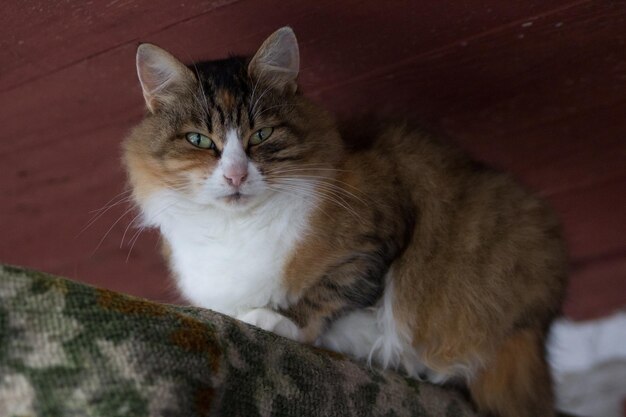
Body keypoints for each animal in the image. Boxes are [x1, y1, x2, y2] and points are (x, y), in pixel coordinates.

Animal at [120, 26, 564, 416]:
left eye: (261, 135)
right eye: (199, 140)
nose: (235, 176)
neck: (237, 229)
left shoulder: (378, 232)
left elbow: (331, 293)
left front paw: (276, 319)